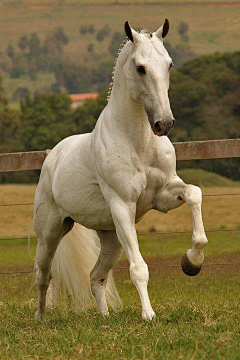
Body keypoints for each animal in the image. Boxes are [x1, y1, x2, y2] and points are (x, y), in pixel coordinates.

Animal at [33, 20, 208, 320]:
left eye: (169, 64)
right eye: (140, 68)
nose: (164, 123)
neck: (137, 142)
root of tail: (52, 157)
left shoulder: (163, 195)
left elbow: (194, 194)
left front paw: (192, 262)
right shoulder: (123, 206)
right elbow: (138, 268)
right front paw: (149, 315)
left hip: (111, 237)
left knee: (96, 276)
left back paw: (104, 317)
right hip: (50, 234)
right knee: (44, 276)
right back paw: (41, 319)